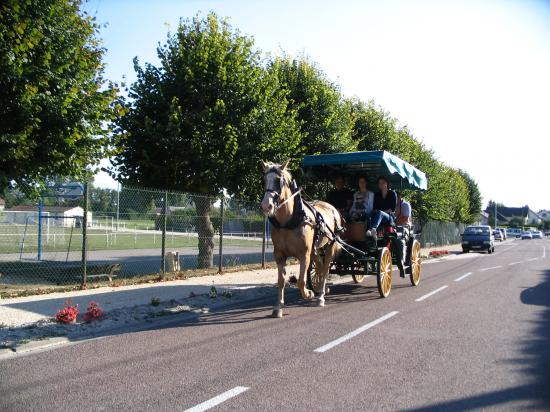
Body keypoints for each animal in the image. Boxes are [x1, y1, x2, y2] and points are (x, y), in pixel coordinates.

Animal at [260, 159, 342, 318]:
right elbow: (281, 281)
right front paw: (278, 307)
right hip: (315, 249)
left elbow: (301, 281)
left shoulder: (304, 255)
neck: (289, 221)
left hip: (329, 245)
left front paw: (309, 294)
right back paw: (321, 290)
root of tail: (332, 208)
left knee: (326, 268)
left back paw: (321, 296)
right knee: (320, 266)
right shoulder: (279, 255)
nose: (266, 206)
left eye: (279, 181)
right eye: (264, 180)